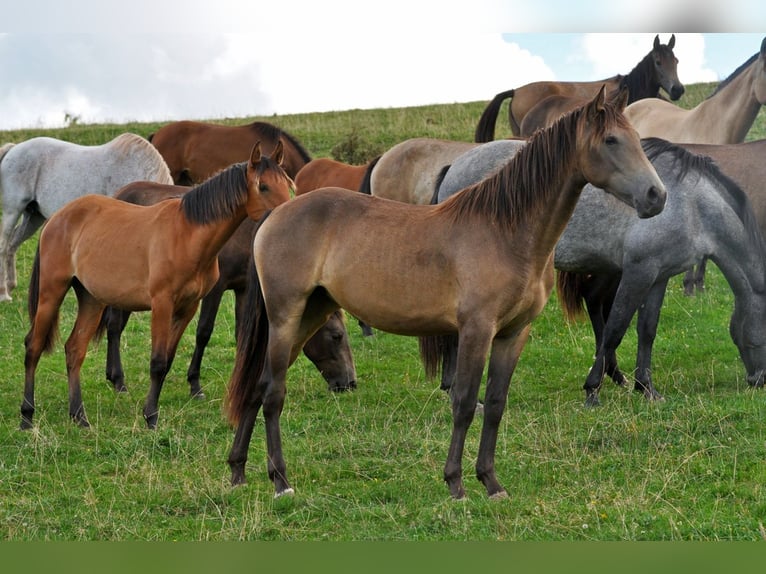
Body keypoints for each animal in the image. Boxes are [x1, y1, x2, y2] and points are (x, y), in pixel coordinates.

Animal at [0, 133, 173, 302]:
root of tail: (13, 149)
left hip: (33, 217)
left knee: (12, 244)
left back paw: (10, 285)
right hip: (12, 211)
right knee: (4, 245)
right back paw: (4, 294)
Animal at [20, 142, 293, 431]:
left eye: (287, 183)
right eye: (263, 186)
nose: (285, 219)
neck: (187, 235)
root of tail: (57, 218)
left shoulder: (188, 307)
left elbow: (169, 359)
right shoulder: (162, 304)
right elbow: (158, 361)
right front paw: (151, 416)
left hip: (91, 300)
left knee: (75, 350)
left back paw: (79, 415)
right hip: (51, 293)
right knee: (33, 347)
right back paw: (27, 416)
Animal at [102, 181, 357, 399]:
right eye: (337, 336)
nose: (350, 383)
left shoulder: (242, 290)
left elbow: (241, 335)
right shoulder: (215, 289)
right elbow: (204, 332)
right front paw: (195, 385)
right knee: (114, 327)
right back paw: (119, 381)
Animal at [223, 86, 666, 500]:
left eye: (636, 137)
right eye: (611, 140)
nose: (656, 196)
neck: (505, 231)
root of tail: (274, 216)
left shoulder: (512, 334)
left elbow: (496, 404)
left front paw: (491, 482)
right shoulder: (475, 330)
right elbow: (465, 403)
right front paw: (456, 484)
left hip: (310, 315)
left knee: (257, 385)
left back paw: (238, 472)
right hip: (286, 316)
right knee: (273, 393)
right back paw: (281, 481)